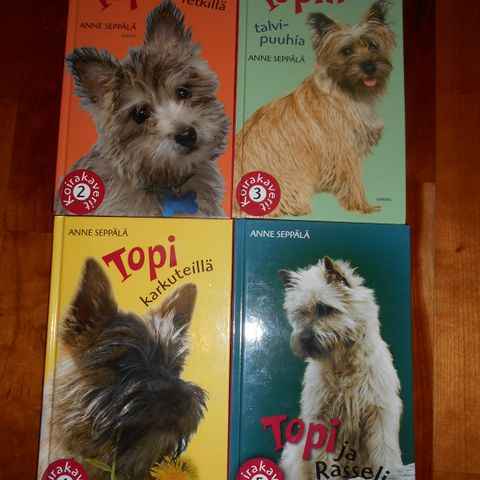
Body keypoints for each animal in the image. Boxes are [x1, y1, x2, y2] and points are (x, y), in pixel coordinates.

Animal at [234, 1, 395, 217]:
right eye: (346, 51)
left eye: (373, 45)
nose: (369, 67)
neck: (346, 92)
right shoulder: (346, 152)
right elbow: (354, 182)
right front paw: (363, 207)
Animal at [279, 257, 403, 478]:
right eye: (300, 312)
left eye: (324, 308)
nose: (304, 338)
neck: (344, 365)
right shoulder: (321, 418)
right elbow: (324, 460)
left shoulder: (380, 411)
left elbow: (384, 449)